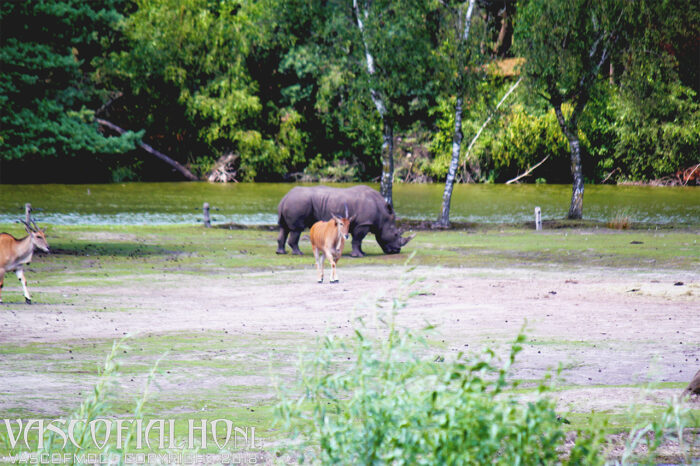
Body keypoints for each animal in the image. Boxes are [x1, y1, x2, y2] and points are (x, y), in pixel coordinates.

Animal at [276, 185, 414, 257]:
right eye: (395, 234)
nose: (396, 251)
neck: (382, 214)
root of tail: (285, 197)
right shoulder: (363, 224)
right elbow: (358, 239)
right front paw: (358, 255)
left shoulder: (359, 223)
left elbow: (358, 241)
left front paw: (362, 253)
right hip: (297, 203)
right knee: (296, 229)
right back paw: (298, 253)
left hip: (290, 203)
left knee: (283, 228)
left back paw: (281, 252)